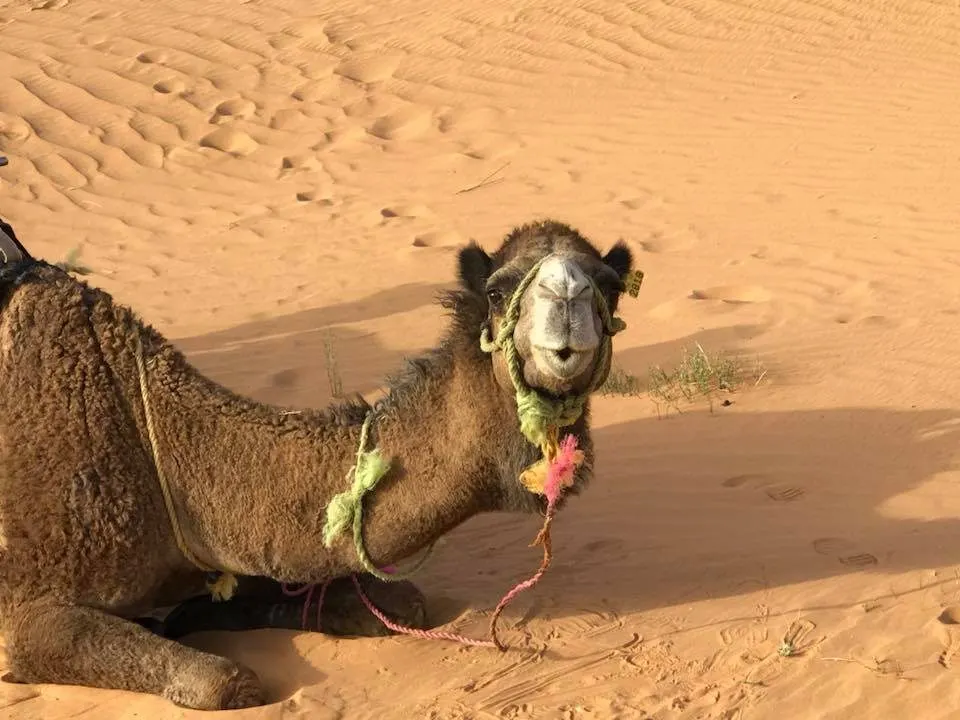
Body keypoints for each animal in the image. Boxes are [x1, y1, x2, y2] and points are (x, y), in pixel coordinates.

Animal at [0, 216, 634, 710]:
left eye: (609, 285)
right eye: (499, 290)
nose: (567, 301)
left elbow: (401, 600)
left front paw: (192, 614)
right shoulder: (27, 612)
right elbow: (226, 681)